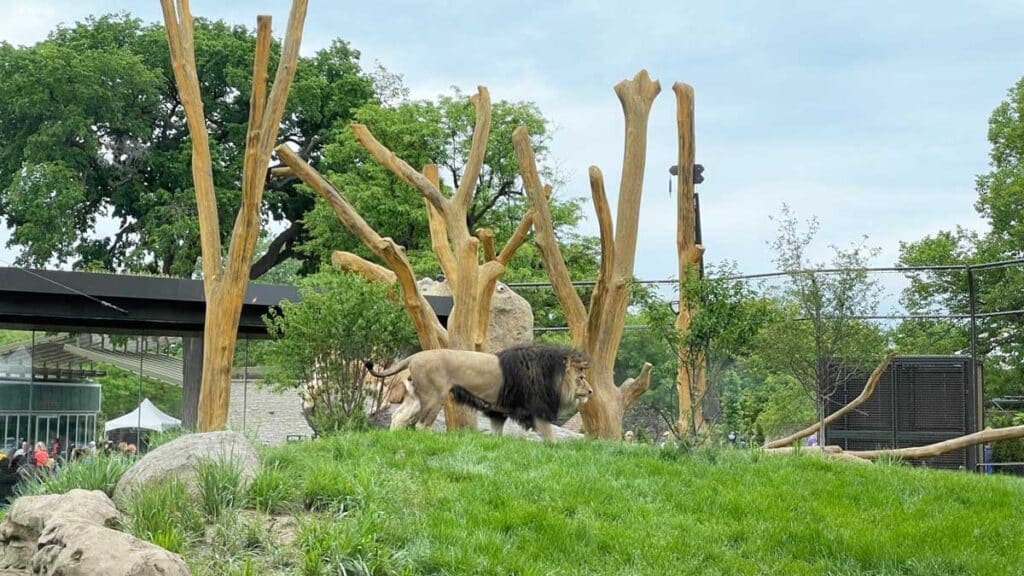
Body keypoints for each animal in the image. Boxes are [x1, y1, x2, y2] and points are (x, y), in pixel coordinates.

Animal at [365, 344, 591, 442]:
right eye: (581, 378)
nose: (590, 390)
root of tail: (414, 356)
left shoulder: (498, 412)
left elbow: (497, 434)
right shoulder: (537, 412)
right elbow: (551, 438)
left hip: (416, 399)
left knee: (398, 417)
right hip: (434, 398)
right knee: (421, 426)